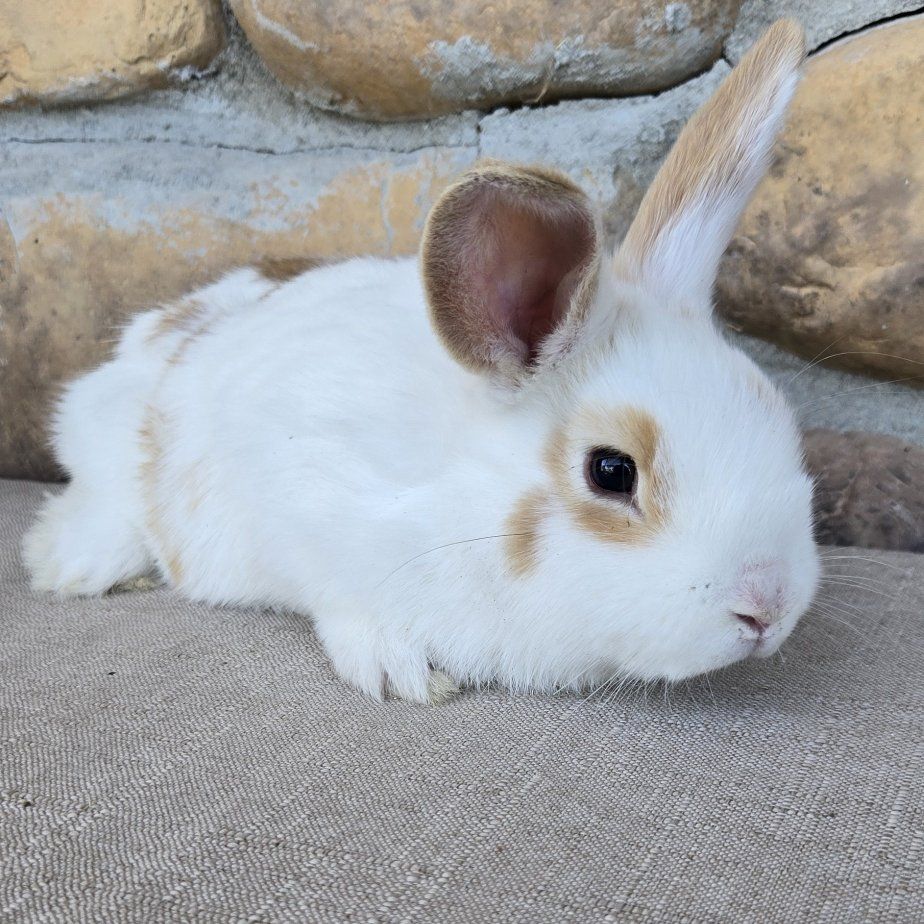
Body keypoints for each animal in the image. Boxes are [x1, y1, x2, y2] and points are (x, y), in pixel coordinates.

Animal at [23, 20, 819, 704]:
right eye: (611, 472)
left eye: (778, 415)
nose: (768, 605)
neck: (460, 492)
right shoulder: (306, 496)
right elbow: (343, 600)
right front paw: (401, 668)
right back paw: (69, 565)